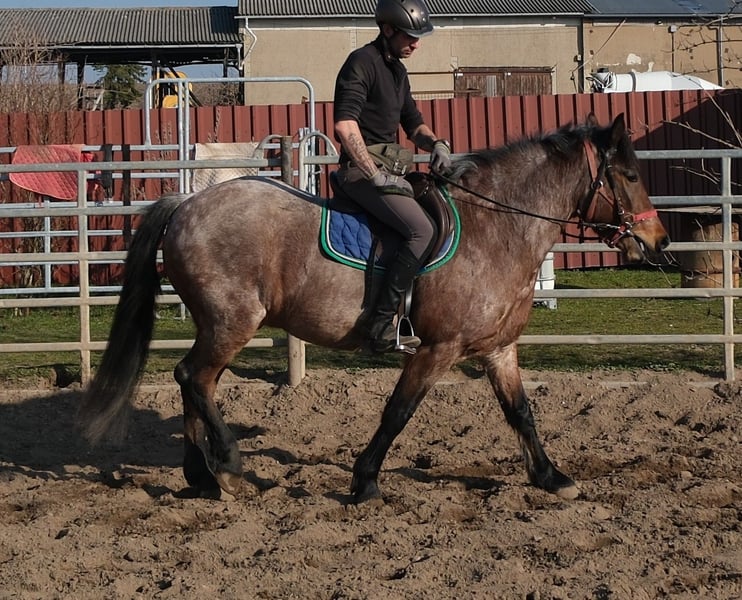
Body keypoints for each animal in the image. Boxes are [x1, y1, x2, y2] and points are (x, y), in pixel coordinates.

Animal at [80, 113, 669, 503]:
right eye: (630, 176)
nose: (659, 242)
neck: (494, 228)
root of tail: (186, 203)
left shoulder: (498, 349)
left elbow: (521, 411)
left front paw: (551, 477)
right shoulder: (437, 348)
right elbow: (397, 412)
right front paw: (364, 482)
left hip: (219, 326)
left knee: (195, 384)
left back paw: (201, 476)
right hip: (232, 323)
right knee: (192, 377)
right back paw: (226, 467)